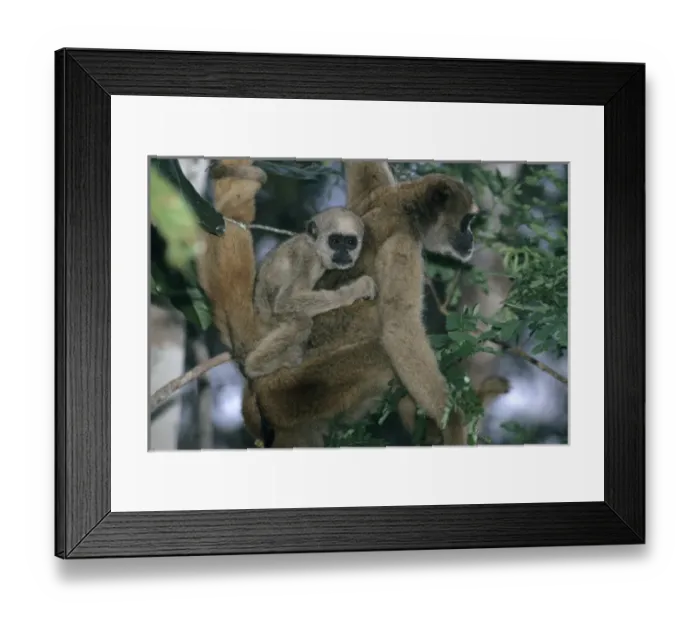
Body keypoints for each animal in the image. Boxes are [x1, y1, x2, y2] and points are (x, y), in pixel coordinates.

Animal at [243, 207, 377, 380]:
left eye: (350, 242)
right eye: (335, 241)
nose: (343, 252)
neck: (316, 249)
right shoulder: (306, 256)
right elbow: (285, 302)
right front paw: (357, 290)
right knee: (303, 323)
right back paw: (256, 366)